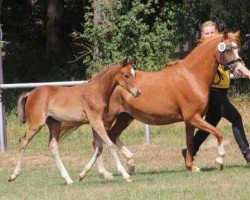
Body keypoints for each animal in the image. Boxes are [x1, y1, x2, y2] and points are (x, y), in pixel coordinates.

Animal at [7, 58, 140, 184]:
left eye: (134, 74)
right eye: (126, 75)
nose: (138, 92)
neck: (97, 91)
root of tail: (30, 94)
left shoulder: (96, 123)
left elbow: (99, 148)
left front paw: (82, 175)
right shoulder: (96, 122)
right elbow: (110, 145)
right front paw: (126, 175)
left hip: (54, 124)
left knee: (52, 147)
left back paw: (68, 179)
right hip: (36, 124)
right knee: (23, 141)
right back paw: (13, 175)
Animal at [60, 30, 244, 178]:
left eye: (238, 48)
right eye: (227, 49)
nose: (238, 69)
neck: (191, 76)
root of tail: (96, 81)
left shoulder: (190, 120)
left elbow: (190, 142)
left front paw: (191, 167)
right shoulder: (193, 117)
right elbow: (218, 133)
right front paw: (219, 160)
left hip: (125, 117)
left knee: (111, 136)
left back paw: (130, 164)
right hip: (106, 118)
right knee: (98, 142)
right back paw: (104, 172)